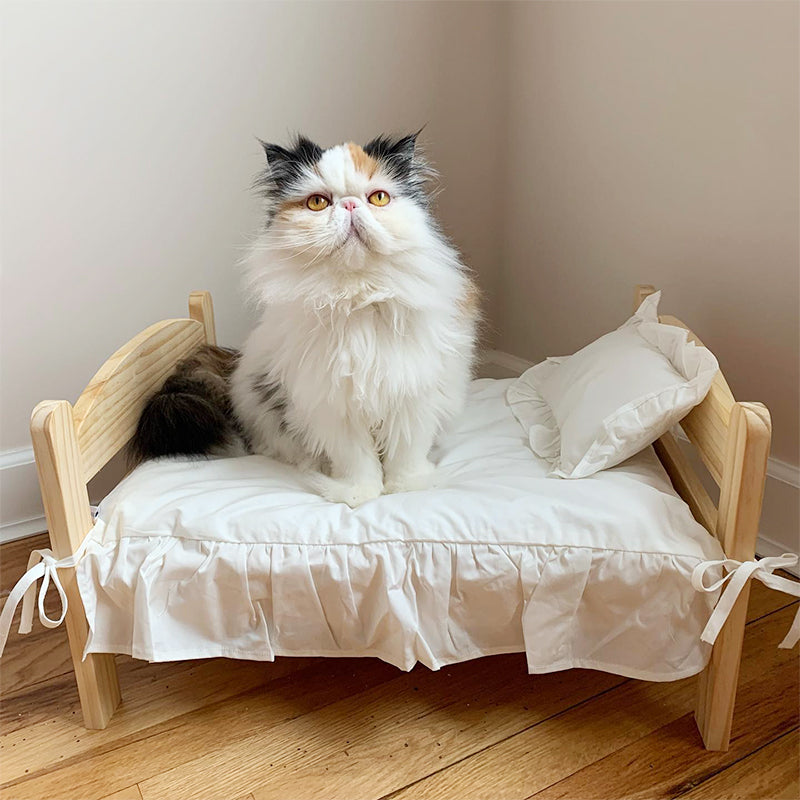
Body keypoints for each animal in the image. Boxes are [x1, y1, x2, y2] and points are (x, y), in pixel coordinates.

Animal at [134, 133, 478, 506]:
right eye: (317, 203)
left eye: (378, 198)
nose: (350, 206)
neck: (356, 299)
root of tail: (231, 366)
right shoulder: (334, 405)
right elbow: (357, 461)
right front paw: (358, 495)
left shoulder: (412, 397)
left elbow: (406, 454)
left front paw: (407, 488)